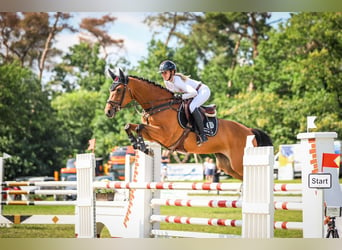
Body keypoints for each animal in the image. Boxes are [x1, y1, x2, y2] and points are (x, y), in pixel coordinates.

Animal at [104, 67, 272, 179]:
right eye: (110, 89)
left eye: (118, 90)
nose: (108, 112)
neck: (159, 105)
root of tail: (249, 130)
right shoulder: (154, 133)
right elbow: (129, 126)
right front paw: (137, 145)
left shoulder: (165, 136)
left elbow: (139, 127)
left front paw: (143, 147)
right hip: (227, 165)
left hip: (238, 162)